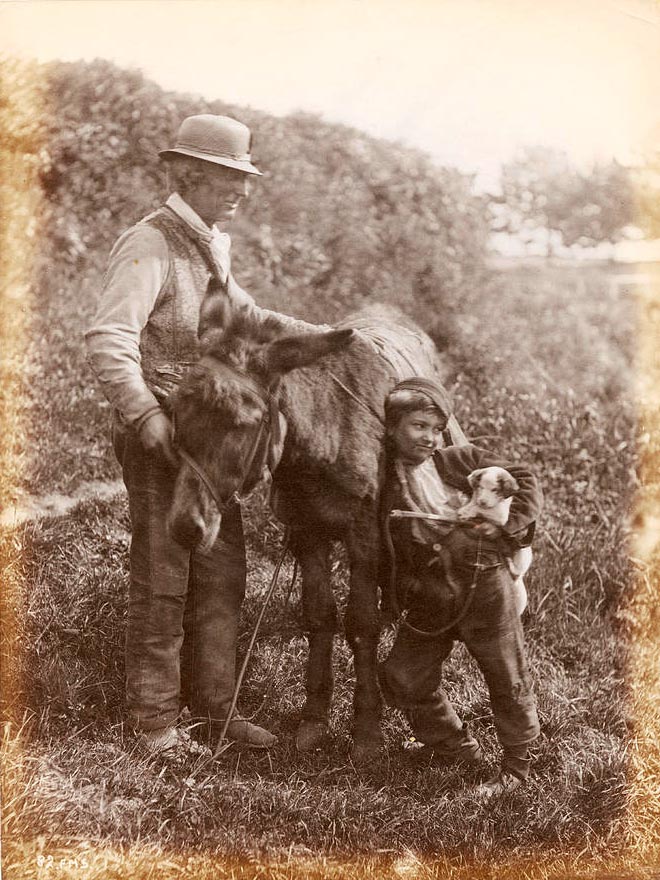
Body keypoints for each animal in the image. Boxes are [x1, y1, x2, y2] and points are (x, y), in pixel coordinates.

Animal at [456, 468, 532, 612]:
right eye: (480, 487)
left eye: (495, 490)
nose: (483, 501)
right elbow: (473, 503)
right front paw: (467, 507)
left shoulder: (500, 515)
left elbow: (479, 509)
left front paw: (467, 511)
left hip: (523, 559)